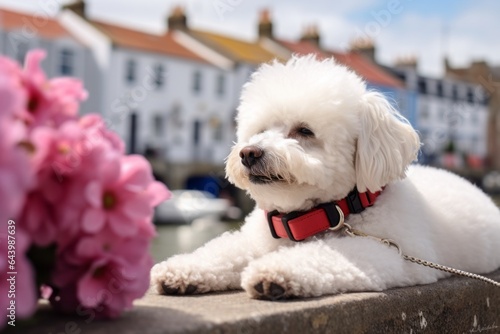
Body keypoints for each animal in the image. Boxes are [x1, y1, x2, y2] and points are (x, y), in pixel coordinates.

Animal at [151, 54, 500, 300]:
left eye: (304, 131)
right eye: (260, 130)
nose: (249, 153)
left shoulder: (394, 254)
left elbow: (324, 255)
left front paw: (274, 272)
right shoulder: (256, 240)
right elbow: (223, 250)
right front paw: (183, 269)